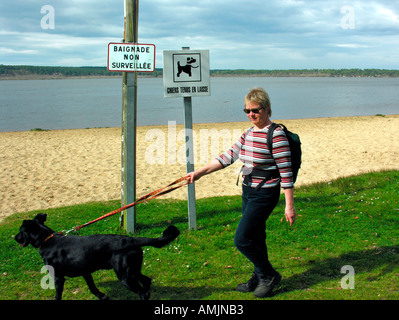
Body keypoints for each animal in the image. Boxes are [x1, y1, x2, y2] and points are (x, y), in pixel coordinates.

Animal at [15, 212, 180, 300]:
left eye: (20, 231)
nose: (15, 238)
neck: (47, 239)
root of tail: (132, 240)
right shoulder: (85, 272)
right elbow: (92, 287)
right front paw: (102, 296)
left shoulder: (58, 277)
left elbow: (58, 294)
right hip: (133, 270)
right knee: (147, 281)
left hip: (125, 275)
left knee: (143, 291)